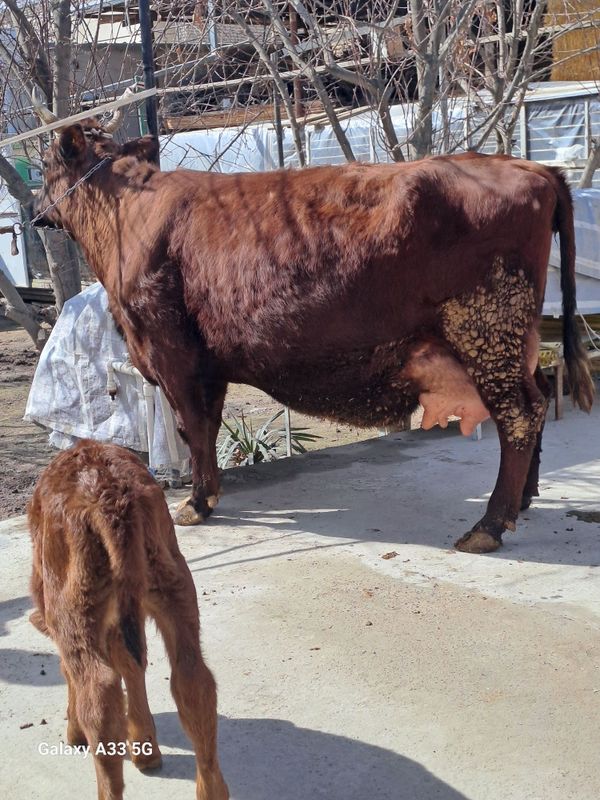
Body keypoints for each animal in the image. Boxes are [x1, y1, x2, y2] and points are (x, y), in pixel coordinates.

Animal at [26, 438, 227, 800]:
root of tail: (108, 495)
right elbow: (133, 664)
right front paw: (145, 748)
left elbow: (83, 671)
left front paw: (75, 732)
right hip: (173, 583)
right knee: (193, 681)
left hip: (74, 610)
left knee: (98, 699)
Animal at [35, 123, 592, 552]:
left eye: (43, 164)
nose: (37, 211)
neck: (128, 214)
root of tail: (530, 168)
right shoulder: (208, 365)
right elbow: (208, 427)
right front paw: (207, 495)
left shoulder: (174, 356)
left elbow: (193, 427)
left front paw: (195, 503)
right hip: (511, 342)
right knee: (540, 394)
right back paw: (524, 500)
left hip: (486, 330)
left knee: (519, 413)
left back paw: (488, 526)